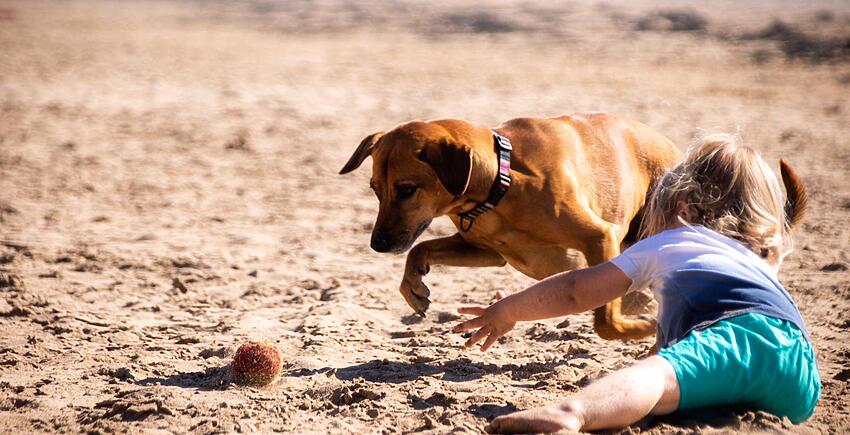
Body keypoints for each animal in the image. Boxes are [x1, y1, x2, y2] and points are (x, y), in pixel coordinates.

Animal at [342, 112, 680, 340]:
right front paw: (413, 287)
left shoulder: (599, 237)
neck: (499, 186)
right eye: (375, 190)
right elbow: (421, 249)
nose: (377, 244)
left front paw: (646, 327)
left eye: (406, 189)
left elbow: (606, 322)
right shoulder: (487, 251)